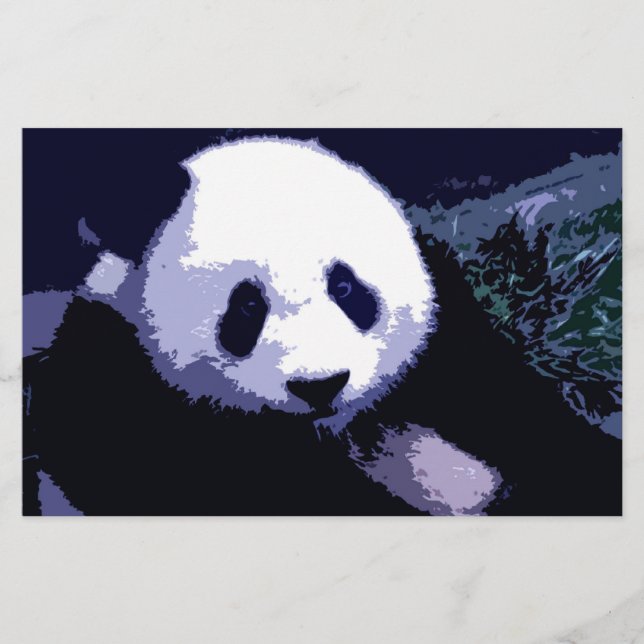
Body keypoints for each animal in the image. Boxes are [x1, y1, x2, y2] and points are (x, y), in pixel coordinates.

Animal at [23, 137, 621, 516]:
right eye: (247, 307)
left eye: (345, 288)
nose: (321, 386)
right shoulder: (124, 390)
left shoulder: (444, 343)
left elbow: (522, 414)